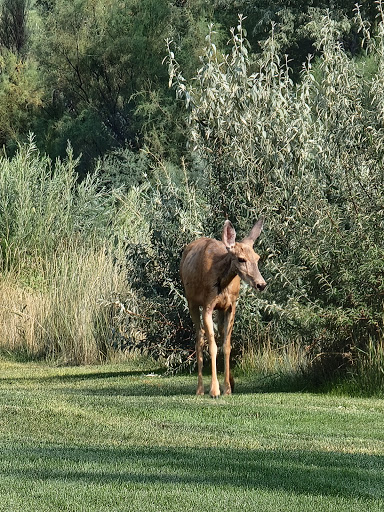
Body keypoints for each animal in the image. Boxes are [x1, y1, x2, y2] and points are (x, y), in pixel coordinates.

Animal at [181, 218, 268, 398]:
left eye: (257, 258)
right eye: (241, 259)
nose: (261, 284)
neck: (223, 282)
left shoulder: (231, 305)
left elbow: (227, 346)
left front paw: (227, 387)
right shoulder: (207, 305)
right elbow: (212, 346)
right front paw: (215, 390)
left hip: (219, 309)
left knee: (220, 335)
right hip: (192, 302)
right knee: (199, 339)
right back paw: (200, 389)